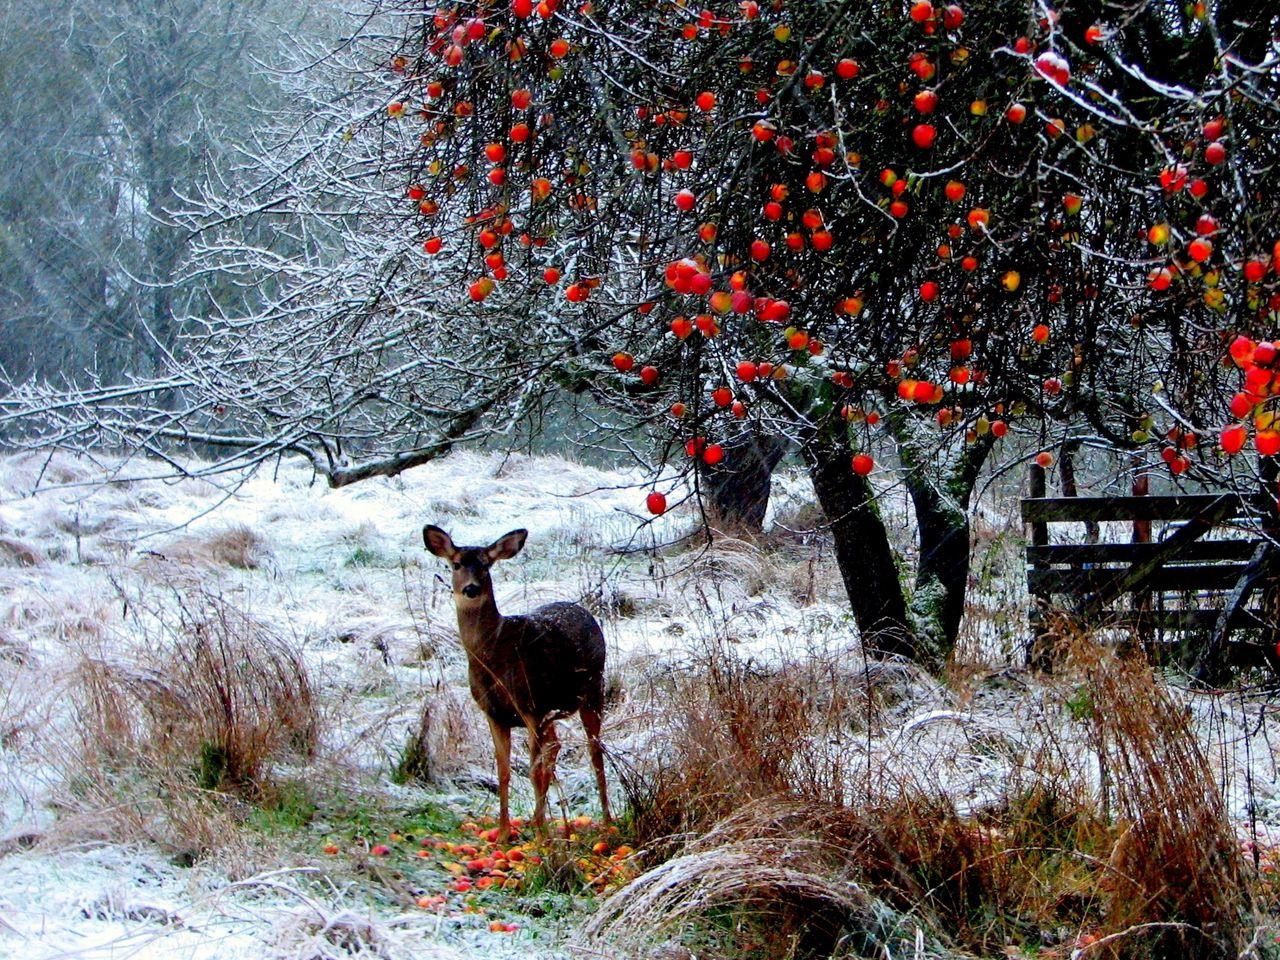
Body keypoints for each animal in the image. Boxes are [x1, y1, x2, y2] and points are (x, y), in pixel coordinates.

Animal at [423, 524, 612, 843]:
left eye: (486, 564)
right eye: (456, 564)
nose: (471, 589)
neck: (494, 656)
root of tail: (584, 611)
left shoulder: (528, 704)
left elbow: (534, 772)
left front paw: (541, 836)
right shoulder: (495, 713)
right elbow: (503, 772)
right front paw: (503, 832)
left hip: (592, 689)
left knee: (594, 751)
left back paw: (607, 821)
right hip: (551, 710)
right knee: (556, 745)